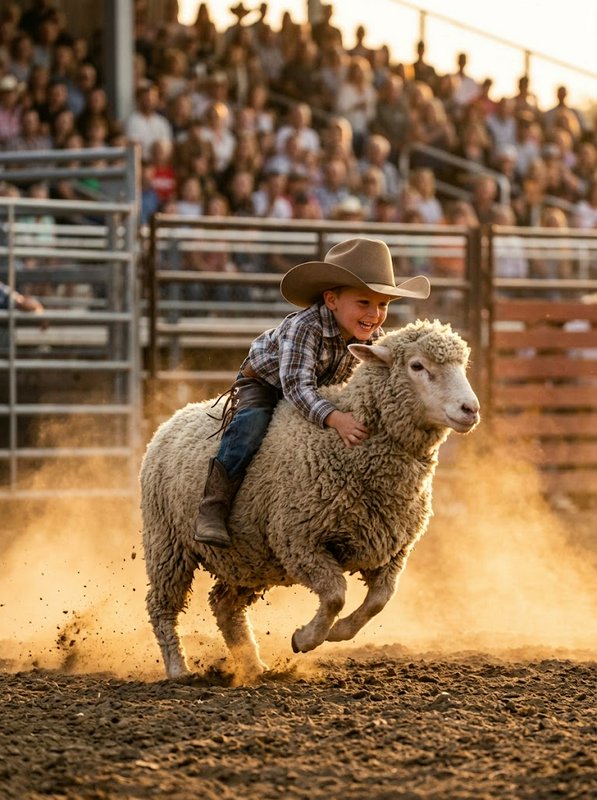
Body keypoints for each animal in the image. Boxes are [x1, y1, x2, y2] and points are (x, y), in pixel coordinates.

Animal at [140, 319, 480, 681]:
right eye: (417, 366)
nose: (470, 409)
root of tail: (171, 420)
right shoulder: (298, 540)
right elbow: (334, 596)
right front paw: (305, 638)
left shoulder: (392, 550)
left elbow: (380, 600)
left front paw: (339, 632)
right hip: (167, 542)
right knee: (162, 606)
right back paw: (179, 668)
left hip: (248, 557)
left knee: (224, 605)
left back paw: (252, 665)